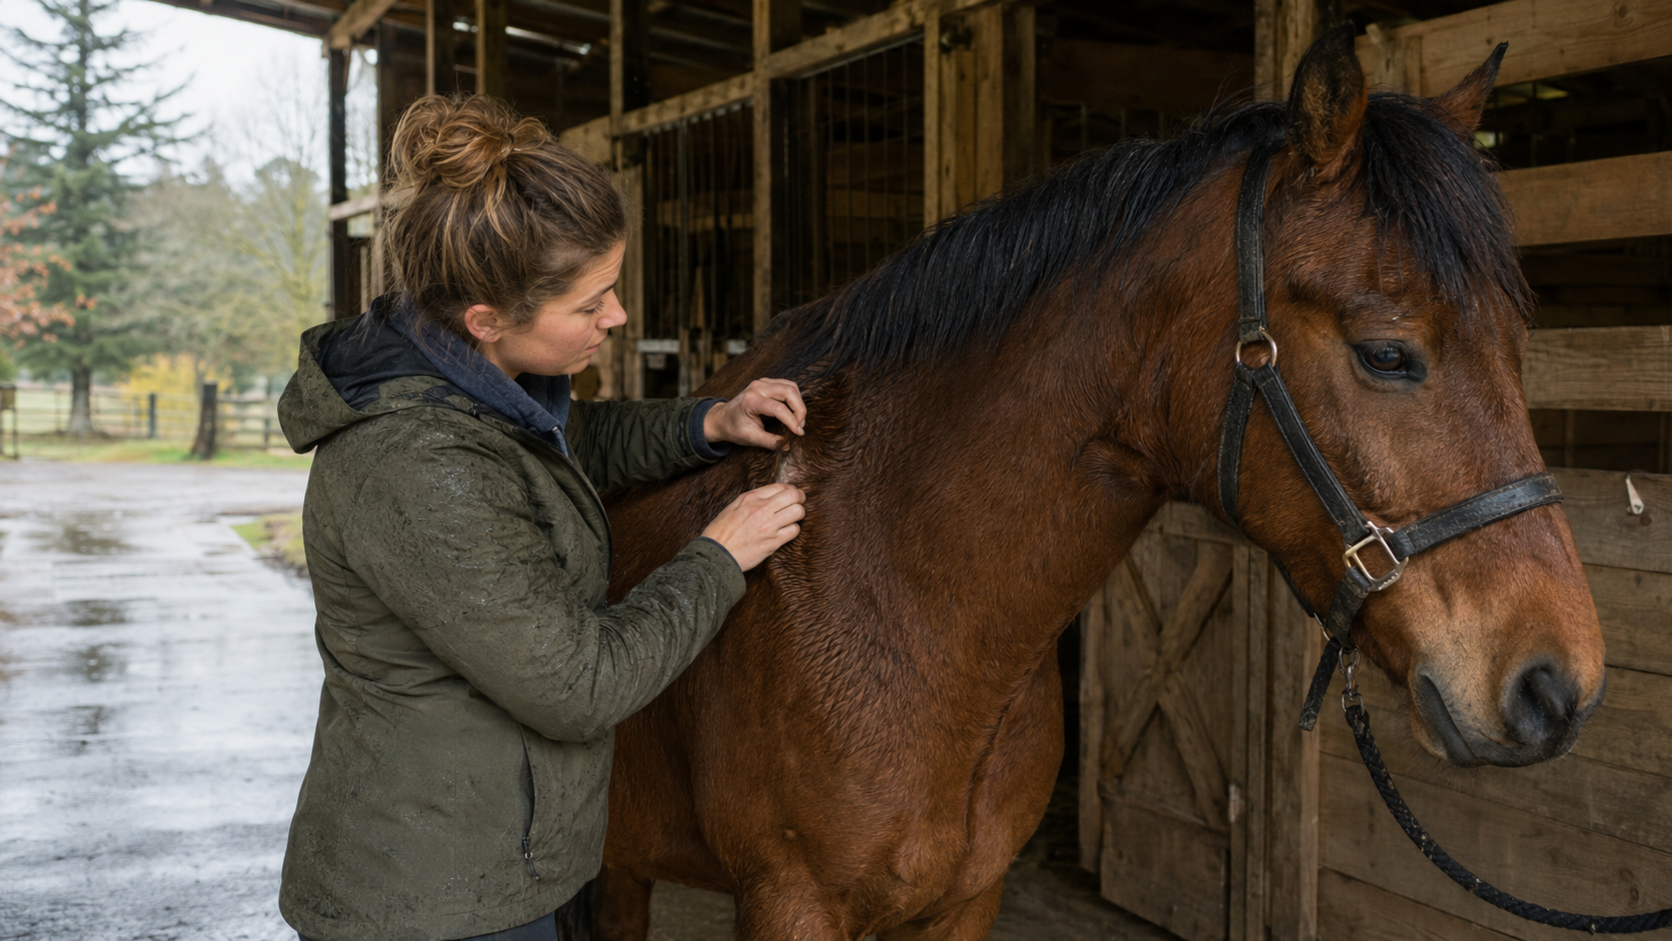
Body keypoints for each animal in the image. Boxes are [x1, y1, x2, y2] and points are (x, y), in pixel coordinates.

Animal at [591, 27, 1606, 941]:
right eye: (1386, 353)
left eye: (1520, 342)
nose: (1558, 687)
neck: (892, 599)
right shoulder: (790, 902)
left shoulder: (967, 900)